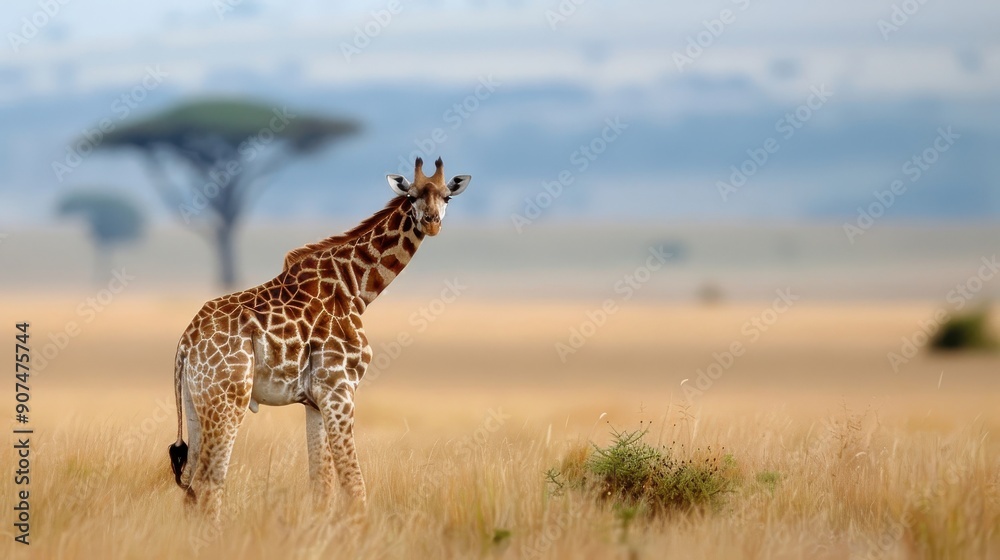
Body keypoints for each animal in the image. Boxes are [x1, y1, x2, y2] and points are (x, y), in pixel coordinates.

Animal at [167, 157, 471, 520]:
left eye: (446, 196)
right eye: (411, 196)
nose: (432, 223)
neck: (354, 288)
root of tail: (187, 342)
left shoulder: (314, 401)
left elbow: (321, 487)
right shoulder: (338, 388)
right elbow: (354, 487)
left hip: (196, 403)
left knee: (190, 484)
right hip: (228, 398)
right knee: (209, 483)